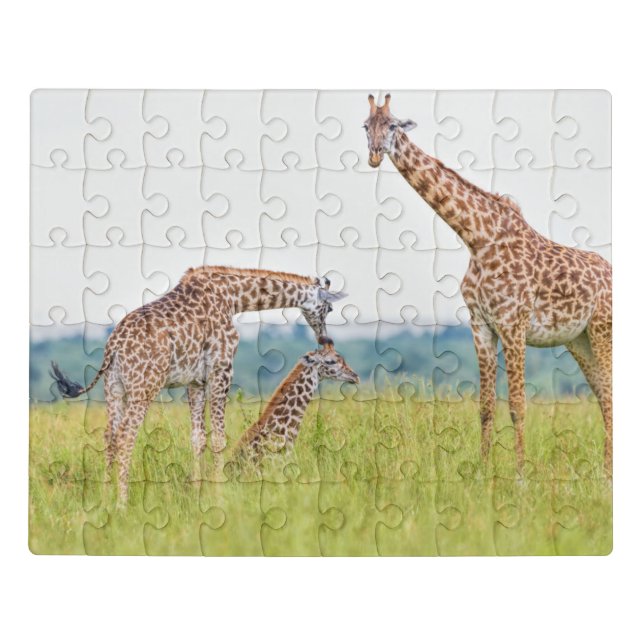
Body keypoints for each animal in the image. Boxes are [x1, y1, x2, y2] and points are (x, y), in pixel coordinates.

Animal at [50, 266, 346, 501]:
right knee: (125, 438)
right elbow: (218, 438)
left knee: (109, 437)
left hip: (114, 389)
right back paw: (122, 503)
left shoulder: (194, 380)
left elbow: (197, 438)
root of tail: (113, 348)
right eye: (329, 307)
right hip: (143, 387)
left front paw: (197, 491)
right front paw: (219, 492)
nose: (325, 339)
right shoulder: (222, 369)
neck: (231, 298)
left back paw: (105, 498)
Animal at [364, 94, 612, 475]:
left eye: (392, 125)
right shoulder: (481, 324)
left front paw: (520, 474)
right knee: (604, 396)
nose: (375, 154)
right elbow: (484, 406)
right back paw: (605, 471)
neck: (478, 238)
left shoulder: (513, 324)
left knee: (611, 396)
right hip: (579, 340)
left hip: (602, 331)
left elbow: (518, 405)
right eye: (366, 126)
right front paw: (482, 470)